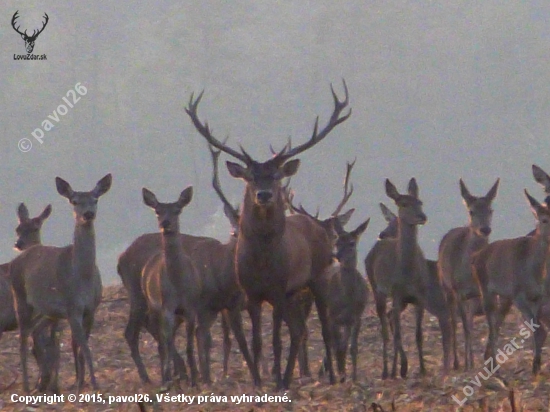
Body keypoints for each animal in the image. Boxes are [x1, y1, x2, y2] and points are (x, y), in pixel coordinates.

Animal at [9, 174, 111, 392]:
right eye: (74, 201)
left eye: (95, 199)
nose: (88, 214)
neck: (82, 276)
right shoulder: (72, 307)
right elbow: (84, 347)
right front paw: (94, 384)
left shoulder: (91, 308)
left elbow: (81, 347)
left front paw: (82, 383)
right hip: (19, 297)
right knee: (22, 339)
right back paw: (27, 387)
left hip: (48, 311)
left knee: (35, 332)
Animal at [141, 187, 202, 386]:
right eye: (157, 211)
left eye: (177, 210)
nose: (165, 223)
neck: (178, 283)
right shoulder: (166, 306)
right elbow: (167, 343)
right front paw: (168, 378)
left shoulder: (190, 308)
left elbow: (189, 345)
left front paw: (195, 378)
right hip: (153, 306)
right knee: (162, 341)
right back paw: (168, 378)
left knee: (169, 339)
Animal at [366, 179, 452, 378]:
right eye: (403, 204)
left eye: (420, 202)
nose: (422, 216)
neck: (408, 274)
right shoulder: (397, 293)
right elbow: (398, 334)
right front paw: (400, 368)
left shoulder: (420, 297)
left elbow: (418, 335)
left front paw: (422, 368)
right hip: (376, 287)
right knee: (385, 328)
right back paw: (387, 371)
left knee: (390, 319)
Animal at [440, 178, 500, 370]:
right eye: (471, 211)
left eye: (490, 210)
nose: (485, 229)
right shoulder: (458, 291)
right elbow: (464, 328)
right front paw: (467, 365)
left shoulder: (487, 292)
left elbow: (491, 326)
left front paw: (493, 362)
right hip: (446, 287)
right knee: (454, 322)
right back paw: (458, 362)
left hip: (472, 299)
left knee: (470, 321)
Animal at [476, 191, 548, 376]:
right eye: (544, 219)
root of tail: (476, 256)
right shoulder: (519, 296)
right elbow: (538, 330)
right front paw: (535, 367)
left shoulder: (539, 297)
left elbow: (539, 329)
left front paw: (536, 364)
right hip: (487, 291)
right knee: (492, 325)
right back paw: (493, 366)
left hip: (504, 297)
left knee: (497, 322)